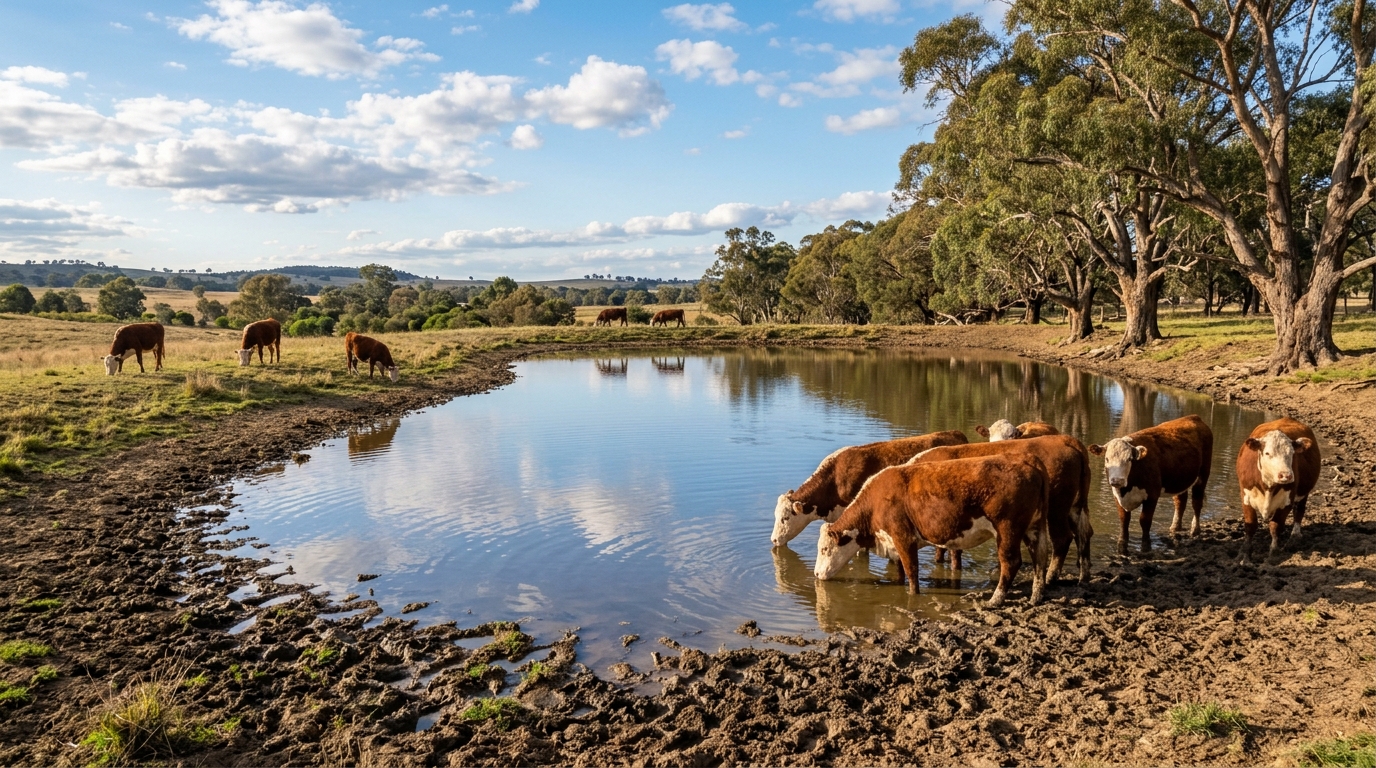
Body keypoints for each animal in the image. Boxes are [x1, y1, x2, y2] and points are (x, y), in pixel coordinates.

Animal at [814, 454, 1051, 606]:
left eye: (825, 549)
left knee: (1011, 562)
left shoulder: (903, 537)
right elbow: (900, 569)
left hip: (1007, 529)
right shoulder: (895, 542)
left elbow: (911, 570)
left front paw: (913, 595)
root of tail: (1028, 463)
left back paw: (995, 600)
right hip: (1034, 527)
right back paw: (1036, 596)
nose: (816, 574)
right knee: (1040, 558)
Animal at [909, 434, 1093, 582]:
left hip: (1057, 508)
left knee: (1062, 538)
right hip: (1076, 506)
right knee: (1084, 532)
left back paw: (1050, 577)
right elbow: (940, 549)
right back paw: (1083, 577)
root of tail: (1066, 439)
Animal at [1089, 413, 1213, 554]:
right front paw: (1121, 546)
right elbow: (1124, 520)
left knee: (1197, 502)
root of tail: (1193, 417)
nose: (1117, 480)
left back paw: (1195, 530)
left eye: (1129, 459)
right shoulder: (1117, 496)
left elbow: (1145, 520)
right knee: (1180, 501)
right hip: (1180, 480)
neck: (1127, 489)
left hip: (1203, 474)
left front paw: (1146, 546)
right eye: (1107, 459)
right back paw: (1175, 527)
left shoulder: (1152, 495)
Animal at [1235, 417, 1321, 564]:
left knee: (1299, 512)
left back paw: (1294, 538)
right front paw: (1245, 555)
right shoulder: (1246, 497)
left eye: (1292, 453)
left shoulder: (1287, 501)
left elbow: (1276, 526)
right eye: (1267, 453)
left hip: (1303, 494)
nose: (1286, 475)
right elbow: (1251, 526)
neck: (1268, 486)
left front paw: (1273, 554)